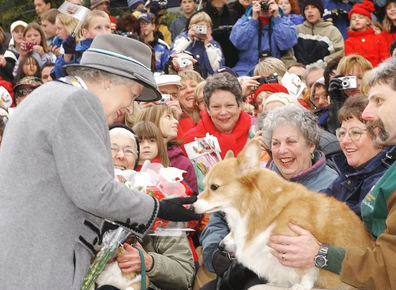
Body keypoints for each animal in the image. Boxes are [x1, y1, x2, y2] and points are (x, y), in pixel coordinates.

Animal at [193, 139, 376, 288]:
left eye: (214, 187)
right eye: (205, 184)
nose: (192, 207)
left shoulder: (299, 247)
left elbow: (308, 271)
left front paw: (302, 285)